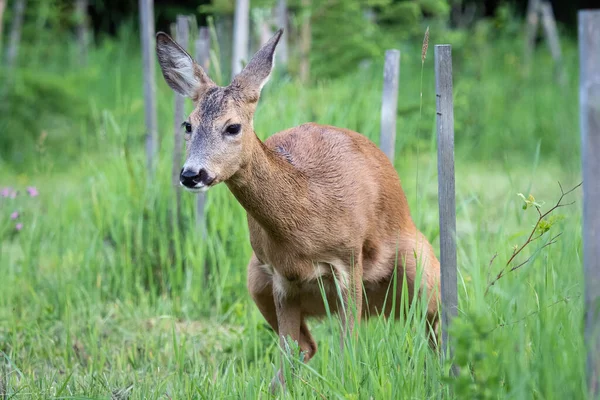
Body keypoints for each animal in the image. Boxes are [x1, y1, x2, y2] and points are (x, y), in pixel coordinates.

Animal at [157, 29, 440, 392]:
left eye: (232, 127)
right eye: (187, 125)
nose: (192, 174)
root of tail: (382, 310)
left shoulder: (350, 260)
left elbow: (348, 350)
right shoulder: (281, 278)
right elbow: (288, 352)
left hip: (421, 265)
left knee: (436, 324)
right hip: (255, 277)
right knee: (308, 346)